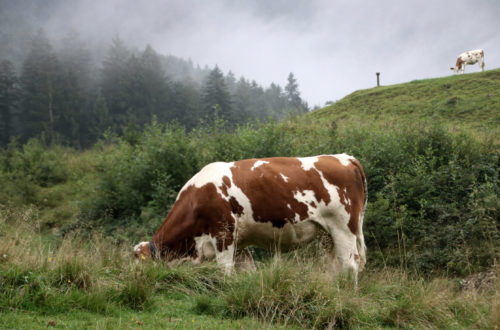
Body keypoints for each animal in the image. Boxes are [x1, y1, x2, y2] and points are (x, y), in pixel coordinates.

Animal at [133, 154, 368, 282]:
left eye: (138, 264)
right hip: (329, 234)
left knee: (350, 264)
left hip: (344, 227)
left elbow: (225, 270)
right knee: (334, 264)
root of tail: (345, 158)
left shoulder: (223, 233)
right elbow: (247, 271)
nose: (133, 280)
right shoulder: (239, 244)